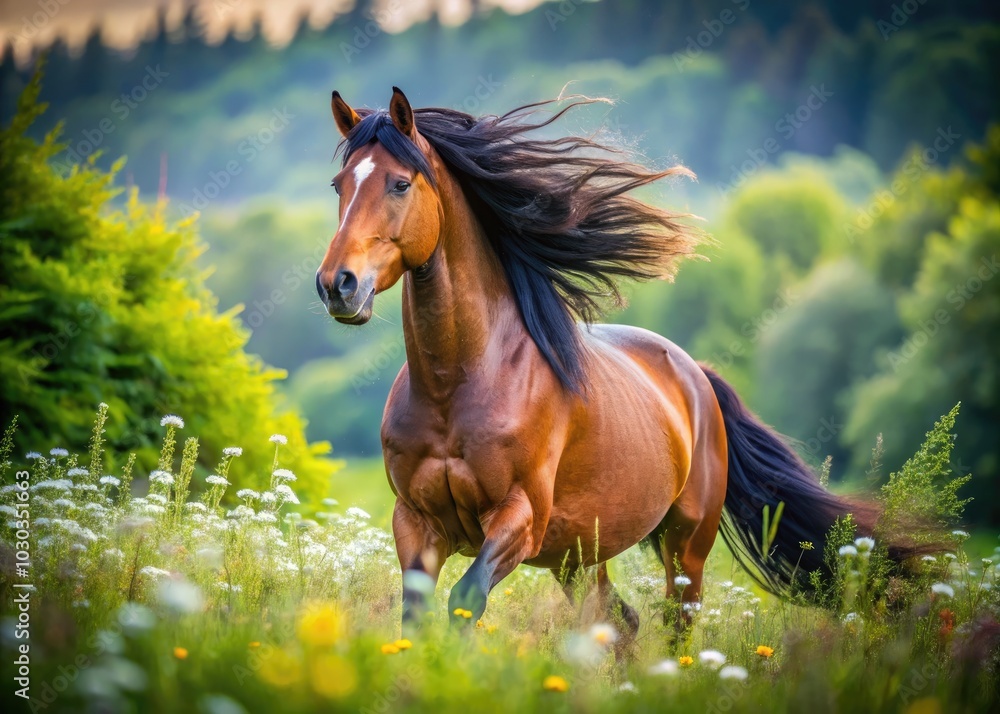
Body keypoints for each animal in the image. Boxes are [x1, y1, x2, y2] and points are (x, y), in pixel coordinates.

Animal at [314, 87, 916, 639]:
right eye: (339, 185)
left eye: (400, 183)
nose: (337, 286)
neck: (456, 385)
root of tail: (697, 377)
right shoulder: (416, 523)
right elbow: (414, 617)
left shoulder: (519, 518)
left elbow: (465, 600)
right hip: (579, 553)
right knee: (619, 622)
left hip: (683, 544)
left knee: (676, 623)